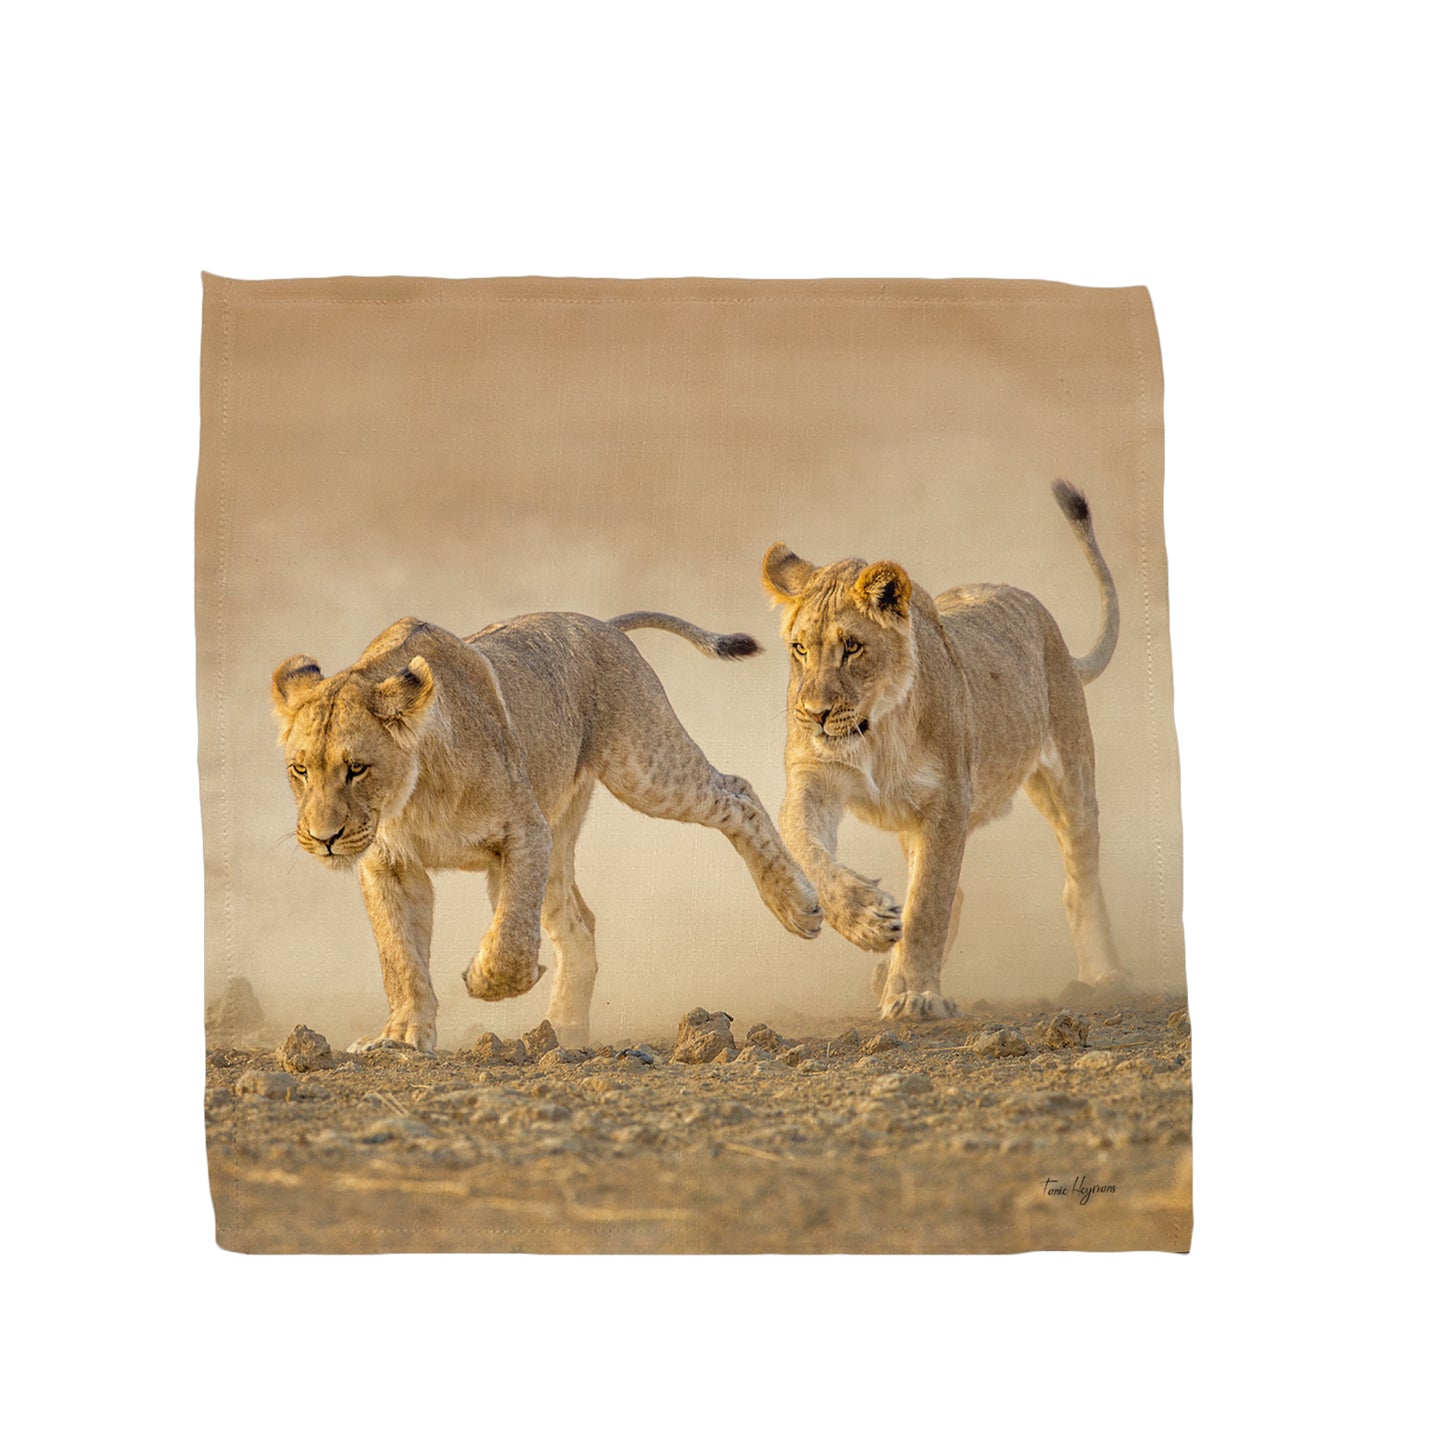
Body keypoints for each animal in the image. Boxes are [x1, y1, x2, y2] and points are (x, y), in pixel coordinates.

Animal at [271, 611, 822, 1053]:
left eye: (357, 769)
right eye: (299, 769)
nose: (324, 839)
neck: (412, 794)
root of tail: (602, 624)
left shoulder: (524, 832)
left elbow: (512, 940)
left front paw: (483, 978)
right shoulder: (391, 863)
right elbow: (399, 957)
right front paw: (401, 1036)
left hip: (644, 769)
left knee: (738, 795)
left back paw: (798, 907)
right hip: (564, 833)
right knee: (579, 925)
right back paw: (564, 1030)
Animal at [761, 479, 1129, 1021]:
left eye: (852, 647)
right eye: (800, 649)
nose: (815, 713)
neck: (877, 729)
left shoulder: (947, 801)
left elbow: (928, 903)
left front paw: (915, 994)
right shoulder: (815, 780)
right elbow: (808, 849)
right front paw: (866, 920)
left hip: (1069, 780)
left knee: (1079, 879)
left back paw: (1104, 977)